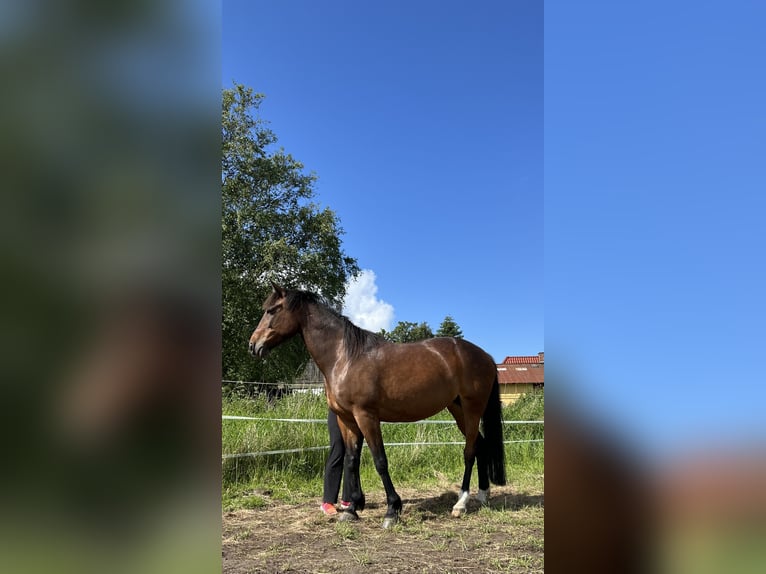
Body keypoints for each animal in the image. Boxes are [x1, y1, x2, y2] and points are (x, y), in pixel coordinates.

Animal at [249, 286, 508, 528]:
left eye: (272, 310)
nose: (253, 345)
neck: (345, 357)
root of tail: (485, 356)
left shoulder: (367, 417)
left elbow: (380, 461)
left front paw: (392, 510)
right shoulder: (347, 420)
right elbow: (351, 461)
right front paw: (352, 508)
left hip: (472, 408)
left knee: (469, 451)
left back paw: (460, 504)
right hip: (458, 409)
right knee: (481, 445)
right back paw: (483, 495)